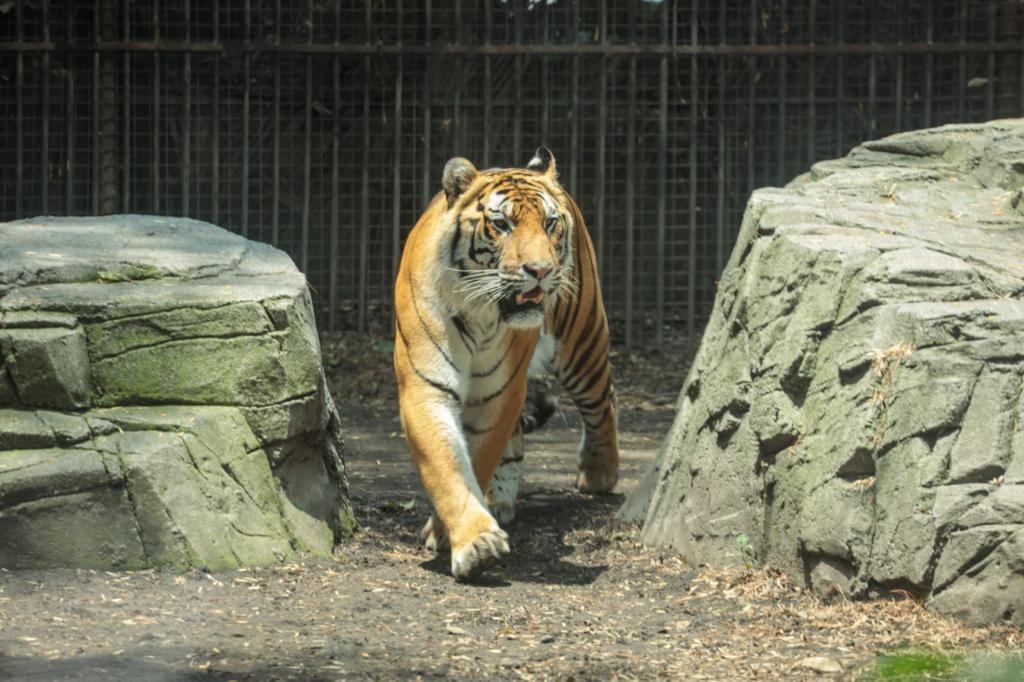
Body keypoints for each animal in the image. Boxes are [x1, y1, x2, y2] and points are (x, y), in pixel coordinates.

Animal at [391, 147, 614, 577]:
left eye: (549, 223)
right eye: (501, 224)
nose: (541, 271)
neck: (478, 310)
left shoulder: (500, 393)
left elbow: (478, 458)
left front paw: (451, 533)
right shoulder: (426, 390)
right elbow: (446, 466)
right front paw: (476, 540)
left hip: (583, 339)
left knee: (603, 401)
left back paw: (600, 473)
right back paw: (501, 499)